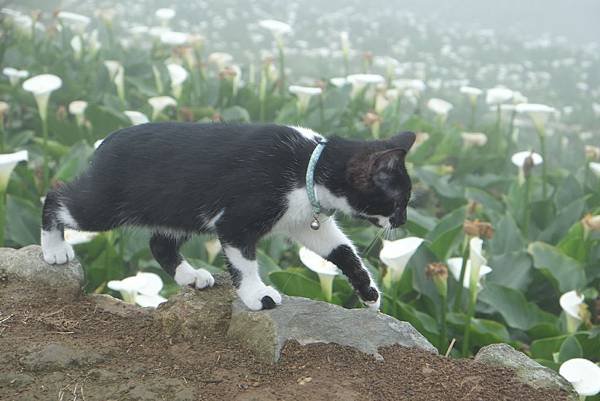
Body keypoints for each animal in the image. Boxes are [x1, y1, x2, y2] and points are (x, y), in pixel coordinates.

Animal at [39, 123, 414, 310]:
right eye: (399, 201)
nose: (404, 221)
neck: (310, 164)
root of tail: (104, 141)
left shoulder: (303, 220)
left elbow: (343, 251)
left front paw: (369, 292)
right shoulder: (236, 220)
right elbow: (244, 262)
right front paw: (257, 295)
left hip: (180, 210)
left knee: (160, 242)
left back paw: (191, 277)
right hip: (106, 204)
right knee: (56, 197)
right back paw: (54, 249)